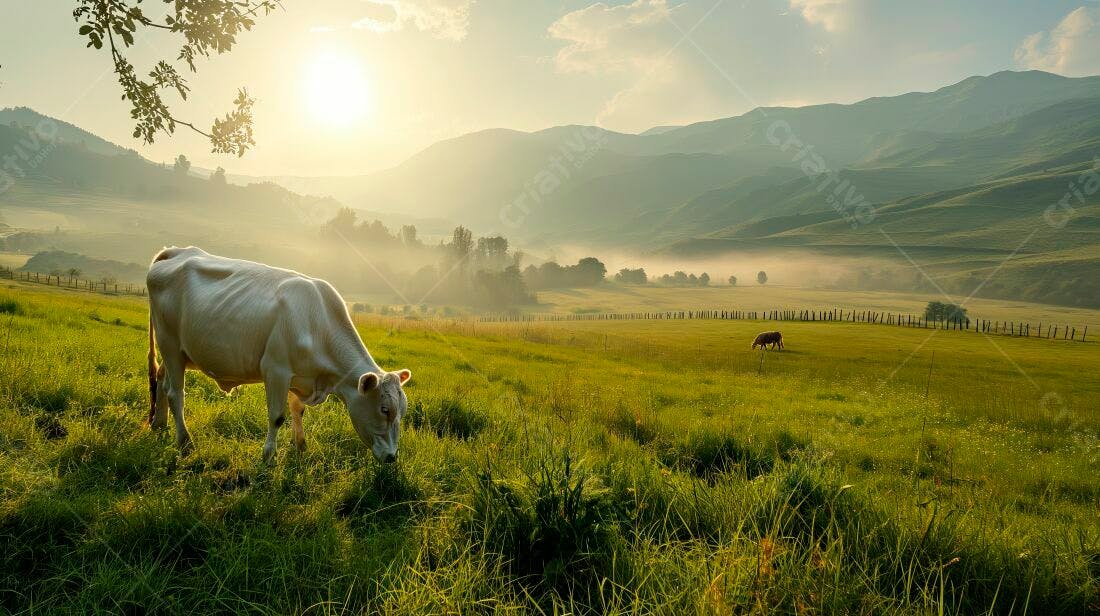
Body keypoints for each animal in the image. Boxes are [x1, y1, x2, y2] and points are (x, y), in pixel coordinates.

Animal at [146, 246, 411, 464]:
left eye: (403, 411)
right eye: (384, 409)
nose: (392, 457)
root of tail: (177, 251)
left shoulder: (300, 377)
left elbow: (297, 410)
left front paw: (301, 447)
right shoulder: (276, 370)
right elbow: (276, 416)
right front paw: (268, 456)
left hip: (179, 352)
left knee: (162, 378)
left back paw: (159, 424)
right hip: (169, 344)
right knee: (175, 393)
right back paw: (185, 442)